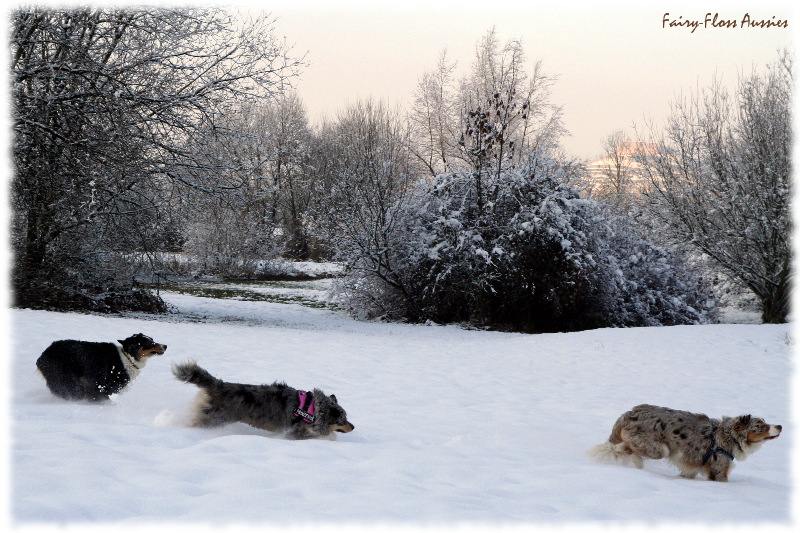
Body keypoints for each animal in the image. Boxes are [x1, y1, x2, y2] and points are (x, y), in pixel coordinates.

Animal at [37, 332, 167, 400]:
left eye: (153, 340)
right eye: (150, 343)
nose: (165, 346)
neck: (128, 358)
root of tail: (43, 355)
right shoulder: (106, 386)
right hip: (68, 381)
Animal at [171, 362, 354, 440]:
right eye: (342, 420)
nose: (353, 426)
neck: (312, 409)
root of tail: (219, 385)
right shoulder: (297, 432)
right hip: (211, 420)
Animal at [588, 402, 780, 480]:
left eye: (765, 421)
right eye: (761, 426)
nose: (780, 426)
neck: (727, 435)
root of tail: (628, 413)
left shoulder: (691, 469)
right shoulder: (718, 470)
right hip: (658, 448)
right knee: (626, 447)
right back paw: (634, 459)